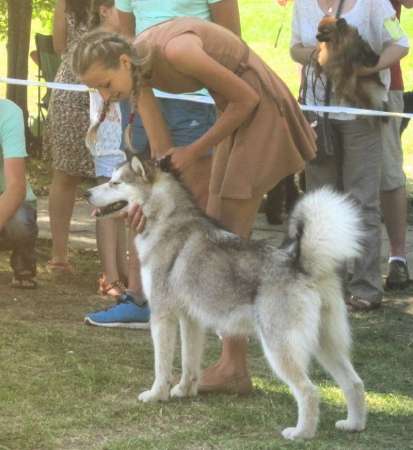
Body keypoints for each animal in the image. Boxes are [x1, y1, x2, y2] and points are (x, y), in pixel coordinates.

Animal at [85, 157, 366, 440]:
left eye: (115, 182)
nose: (87, 193)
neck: (167, 220)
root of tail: (301, 264)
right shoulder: (191, 320)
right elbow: (189, 362)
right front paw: (184, 391)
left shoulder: (163, 317)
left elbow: (162, 366)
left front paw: (156, 395)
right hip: (326, 344)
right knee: (354, 382)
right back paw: (353, 424)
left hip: (279, 347)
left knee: (309, 391)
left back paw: (301, 433)